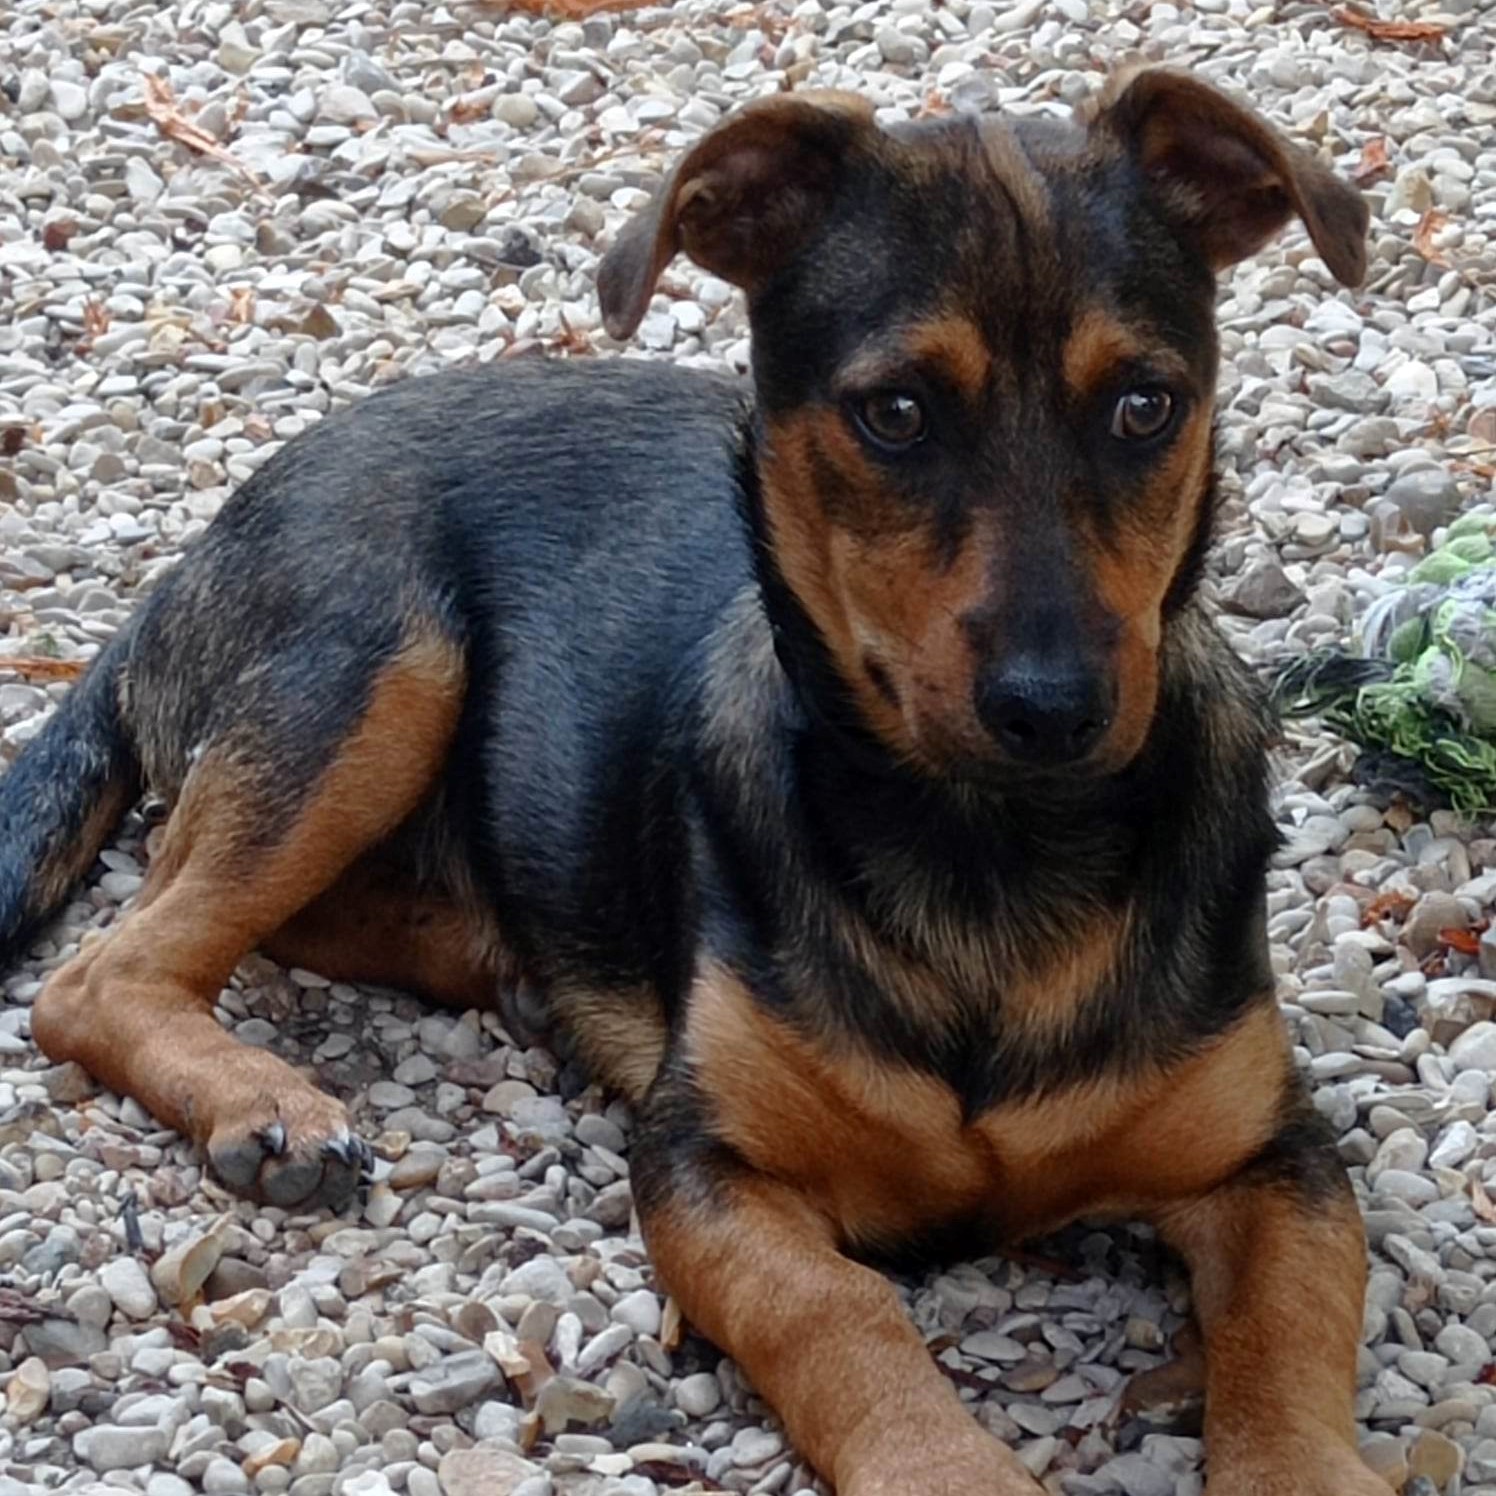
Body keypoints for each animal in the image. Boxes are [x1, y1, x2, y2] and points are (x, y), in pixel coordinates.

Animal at [2, 67, 1376, 1496]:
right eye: (893, 413)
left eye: (1143, 405)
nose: (1052, 709)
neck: (989, 850)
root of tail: (195, 550)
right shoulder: (702, 1161)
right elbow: (836, 1312)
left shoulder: (1276, 1160)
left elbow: (1285, 1347)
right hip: (374, 657)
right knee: (106, 968)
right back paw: (263, 1095)